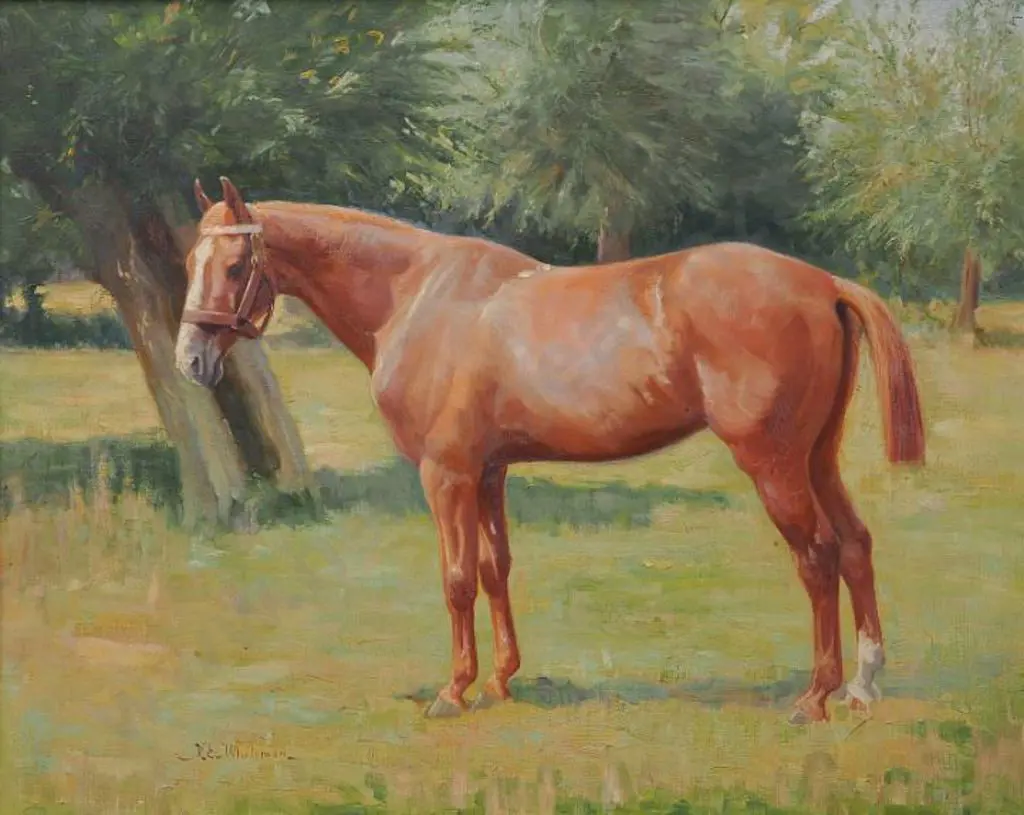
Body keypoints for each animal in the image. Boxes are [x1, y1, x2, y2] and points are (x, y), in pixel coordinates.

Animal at [175, 177, 925, 725]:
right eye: (189, 263)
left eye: (235, 265)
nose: (190, 360)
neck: (417, 296)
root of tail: (824, 284)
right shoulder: (489, 472)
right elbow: (494, 568)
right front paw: (503, 680)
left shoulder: (446, 474)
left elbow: (456, 579)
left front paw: (454, 690)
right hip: (816, 457)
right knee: (856, 544)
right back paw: (864, 684)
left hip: (773, 465)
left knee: (818, 557)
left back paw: (816, 696)